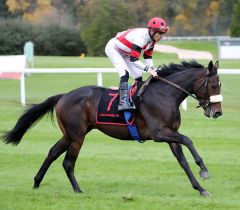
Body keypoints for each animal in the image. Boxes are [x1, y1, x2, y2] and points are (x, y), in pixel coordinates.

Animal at [2, 60, 223, 196]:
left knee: (52, 153)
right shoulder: (160, 133)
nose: (218, 112)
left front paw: (200, 188)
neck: (164, 94)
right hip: (77, 135)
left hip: (70, 134)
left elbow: (183, 161)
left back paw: (36, 182)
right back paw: (78, 190)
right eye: (214, 85)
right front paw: (204, 170)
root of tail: (64, 96)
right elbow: (188, 140)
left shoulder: (170, 134)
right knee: (68, 162)